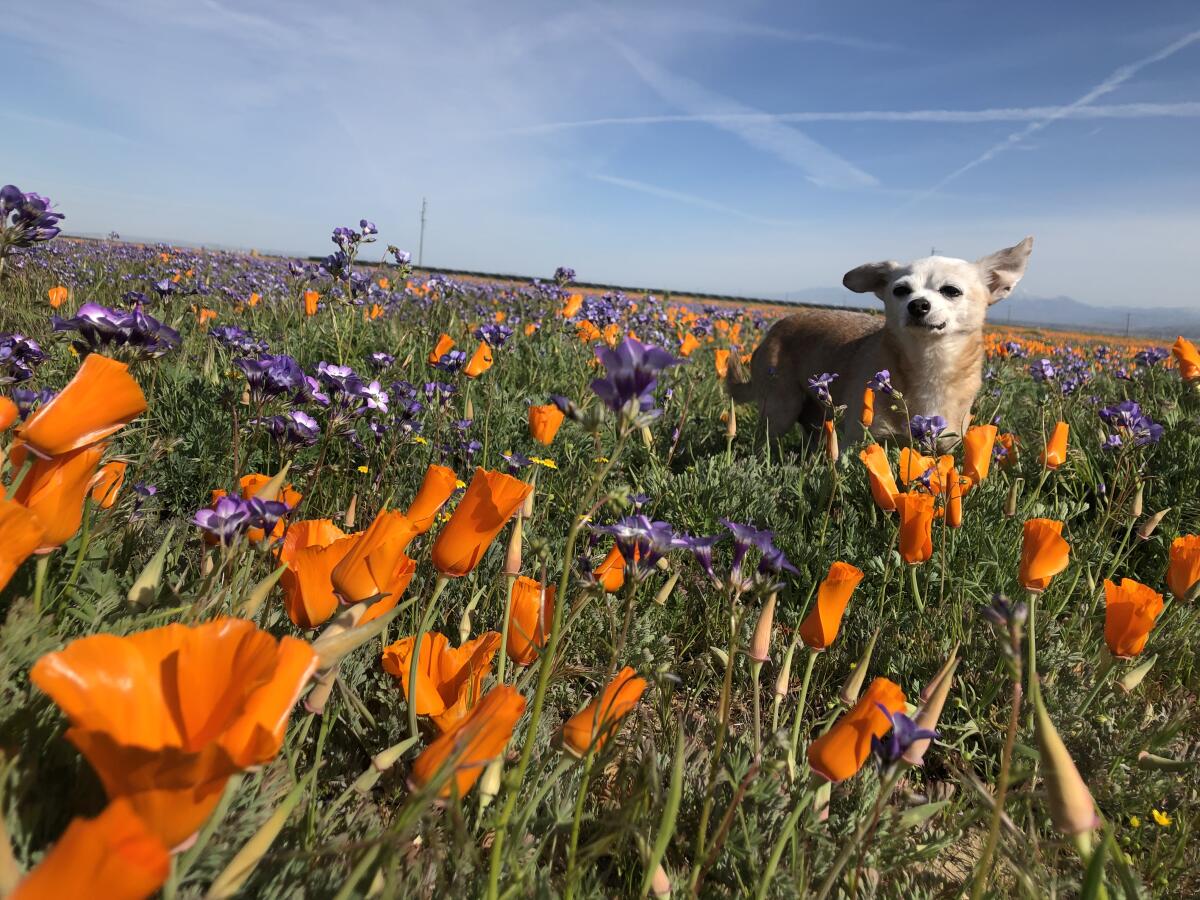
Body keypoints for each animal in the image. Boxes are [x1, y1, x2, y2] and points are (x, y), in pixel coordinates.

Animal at [724, 240, 1036, 448]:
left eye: (951, 291)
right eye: (900, 290)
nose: (917, 304)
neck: (929, 364)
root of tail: (772, 330)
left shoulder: (942, 446)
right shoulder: (861, 440)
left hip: (814, 418)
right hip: (780, 409)